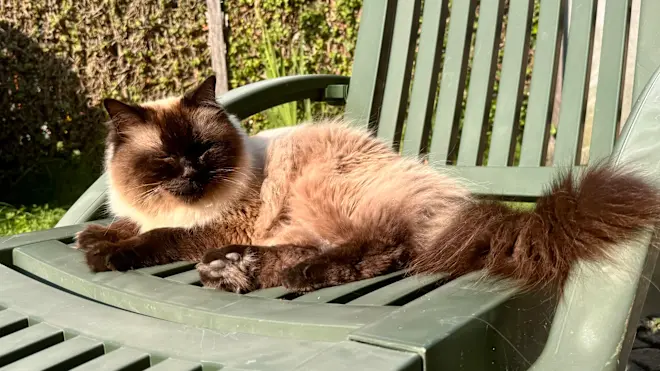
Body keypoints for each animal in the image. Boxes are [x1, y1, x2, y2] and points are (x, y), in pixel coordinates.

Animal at [76, 75, 660, 294]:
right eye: (165, 160)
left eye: (202, 151)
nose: (193, 175)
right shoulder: (159, 214)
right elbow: (126, 225)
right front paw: (94, 237)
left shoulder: (219, 223)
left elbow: (158, 239)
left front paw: (107, 255)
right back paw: (236, 270)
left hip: (317, 189)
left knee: (382, 249)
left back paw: (275, 273)